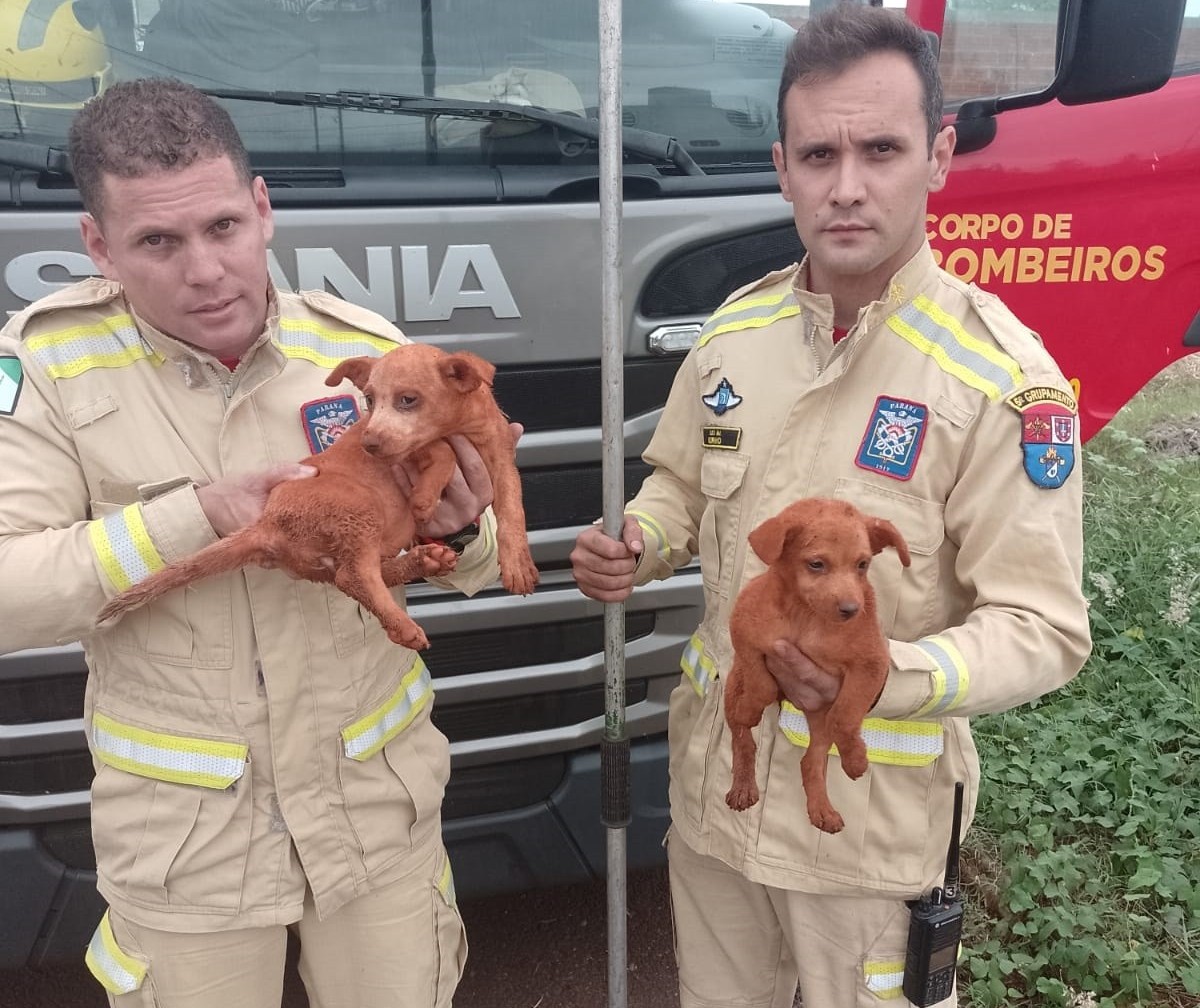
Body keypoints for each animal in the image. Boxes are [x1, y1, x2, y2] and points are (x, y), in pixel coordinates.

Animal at [720, 496, 907, 835]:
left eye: (863, 565)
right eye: (816, 564)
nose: (851, 609)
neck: (806, 618)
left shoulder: (870, 666)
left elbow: (846, 715)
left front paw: (855, 760)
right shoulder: (744, 636)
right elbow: (760, 682)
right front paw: (752, 708)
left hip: (820, 717)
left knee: (811, 760)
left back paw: (823, 810)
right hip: (733, 685)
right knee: (743, 740)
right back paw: (743, 787)